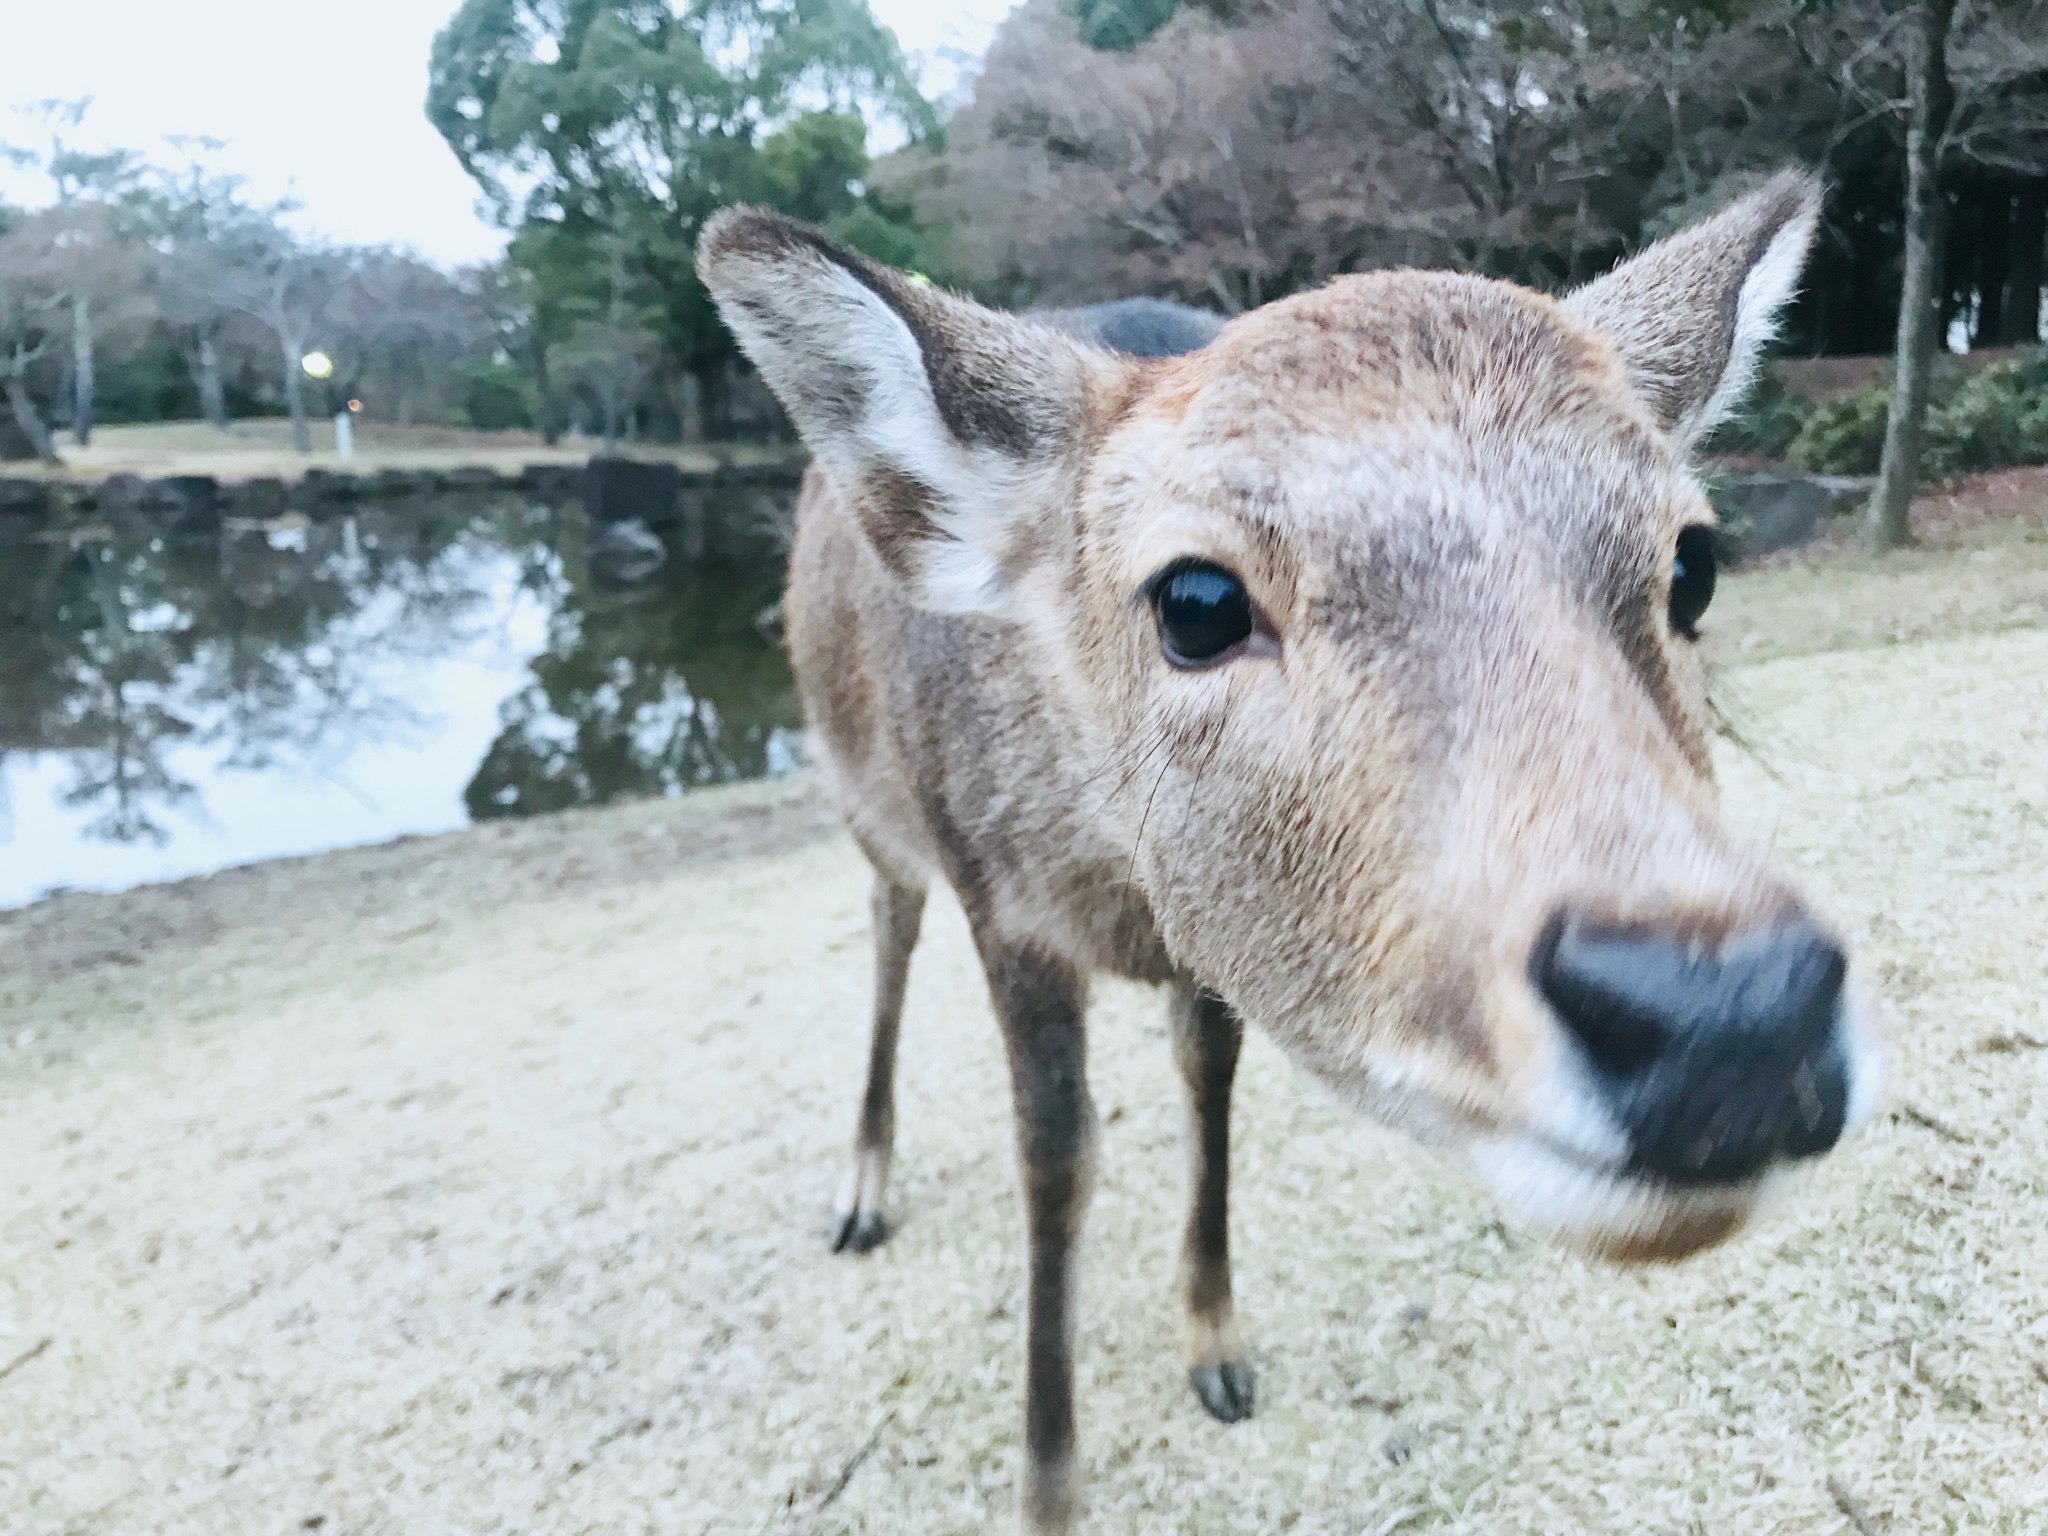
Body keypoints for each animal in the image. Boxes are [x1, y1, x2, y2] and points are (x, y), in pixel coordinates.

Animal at [696, 174, 1875, 1531]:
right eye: (1194, 599)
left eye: (1693, 561)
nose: (1730, 1015)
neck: (1120, 897)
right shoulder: (1002, 899)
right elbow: (1054, 1161)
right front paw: (1047, 1489)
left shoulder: (1203, 954)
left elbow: (1207, 1080)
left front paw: (1215, 1345)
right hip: (867, 796)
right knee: (888, 923)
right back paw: (861, 1191)